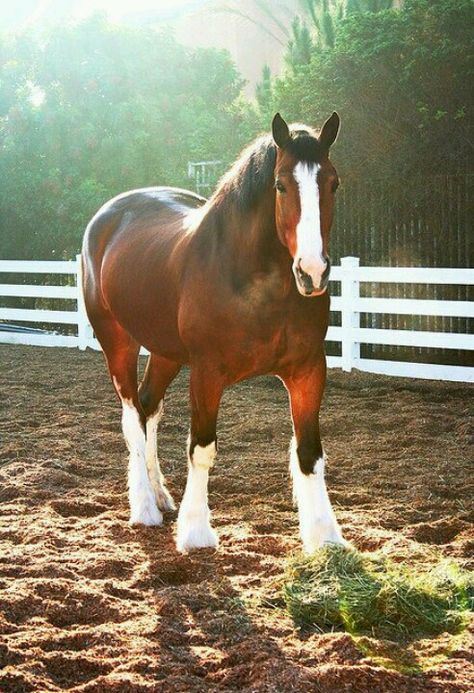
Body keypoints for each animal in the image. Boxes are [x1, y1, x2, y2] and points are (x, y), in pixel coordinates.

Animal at [81, 116, 346, 556]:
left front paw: (325, 536)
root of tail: (106, 216)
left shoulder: (308, 370)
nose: (312, 272)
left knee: (149, 407)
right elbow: (202, 449)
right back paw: (144, 508)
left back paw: (160, 495)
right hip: (117, 342)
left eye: (333, 183)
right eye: (280, 185)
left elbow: (309, 452)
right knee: (133, 417)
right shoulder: (207, 373)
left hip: (166, 352)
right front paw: (195, 531)